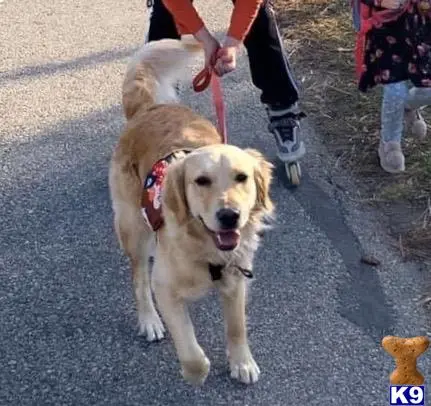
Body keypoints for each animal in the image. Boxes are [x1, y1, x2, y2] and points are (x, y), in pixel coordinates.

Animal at [109, 38, 276, 386]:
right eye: (201, 181)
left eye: (241, 177)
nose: (229, 215)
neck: (206, 249)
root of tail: (150, 109)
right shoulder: (165, 287)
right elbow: (187, 343)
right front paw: (196, 371)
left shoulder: (237, 280)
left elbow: (237, 327)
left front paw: (242, 362)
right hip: (134, 229)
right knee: (138, 278)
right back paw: (149, 320)